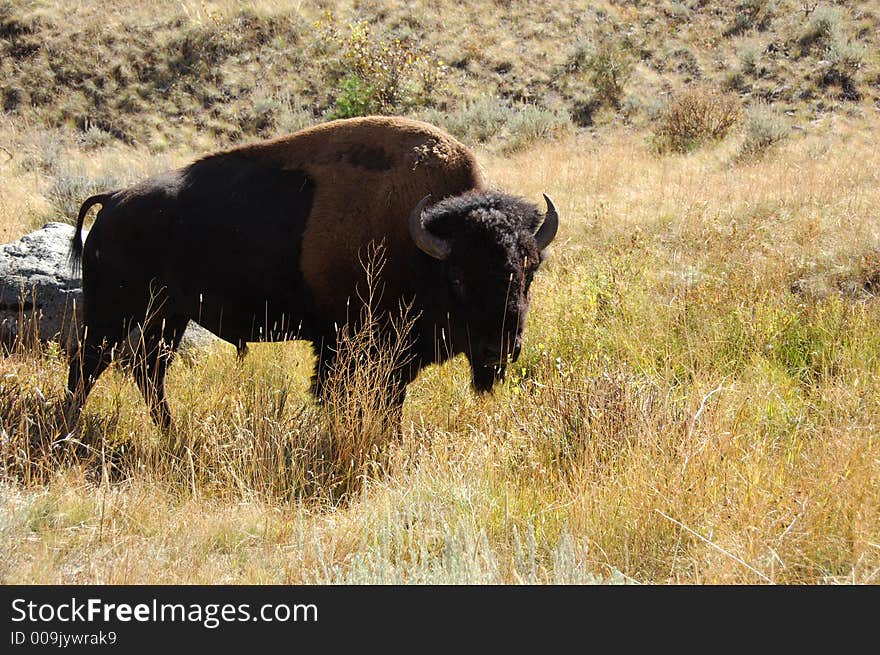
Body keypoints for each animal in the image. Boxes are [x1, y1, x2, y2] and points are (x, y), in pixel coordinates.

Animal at [65, 115, 560, 428]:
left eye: (529, 272)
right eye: (458, 277)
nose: (500, 348)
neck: (417, 243)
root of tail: (112, 201)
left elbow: (388, 403)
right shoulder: (345, 344)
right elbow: (348, 398)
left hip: (167, 315)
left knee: (148, 370)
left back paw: (171, 433)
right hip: (112, 313)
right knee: (88, 365)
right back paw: (68, 433)